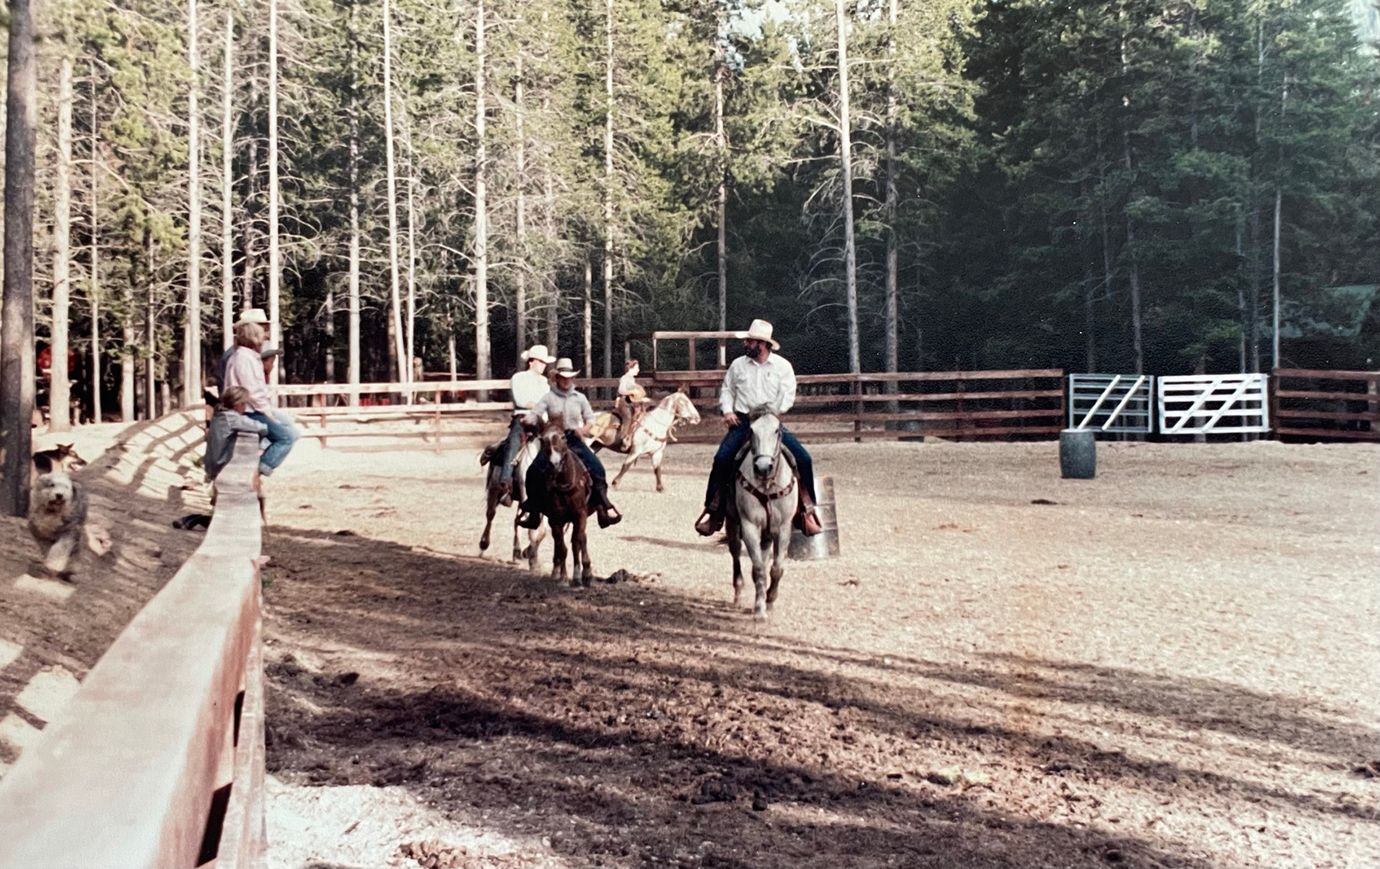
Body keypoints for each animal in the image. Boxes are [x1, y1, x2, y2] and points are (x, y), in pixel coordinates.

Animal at [477, 430, 546, 568]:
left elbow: (542, 531)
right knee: (490, 515)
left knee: (517, 521)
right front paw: (532, 559)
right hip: (494, 489)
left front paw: (528, 554)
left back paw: (517, 552)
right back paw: (484, 544)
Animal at [538, 433, 593, 590]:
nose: (554, 464)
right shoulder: (555, 519)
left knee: (582, 539)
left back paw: (587, 573)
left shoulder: (580, 515)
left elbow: (576, 544)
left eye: (562, 440)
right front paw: (563, 577)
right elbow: (562, 547)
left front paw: (577, 577)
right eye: (544, 444)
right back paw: (556, 572)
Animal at [723, 408, 800, 620]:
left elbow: (776, 569)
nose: (763, 468)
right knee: (735, 553)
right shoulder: (749, 525)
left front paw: (770, 600)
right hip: (732, 523)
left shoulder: (783, 527)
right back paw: (738, 594)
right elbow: (758, 569)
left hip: (767, 533)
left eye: (777, 430)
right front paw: (759, 609)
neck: (767, 486)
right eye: (751, 431)